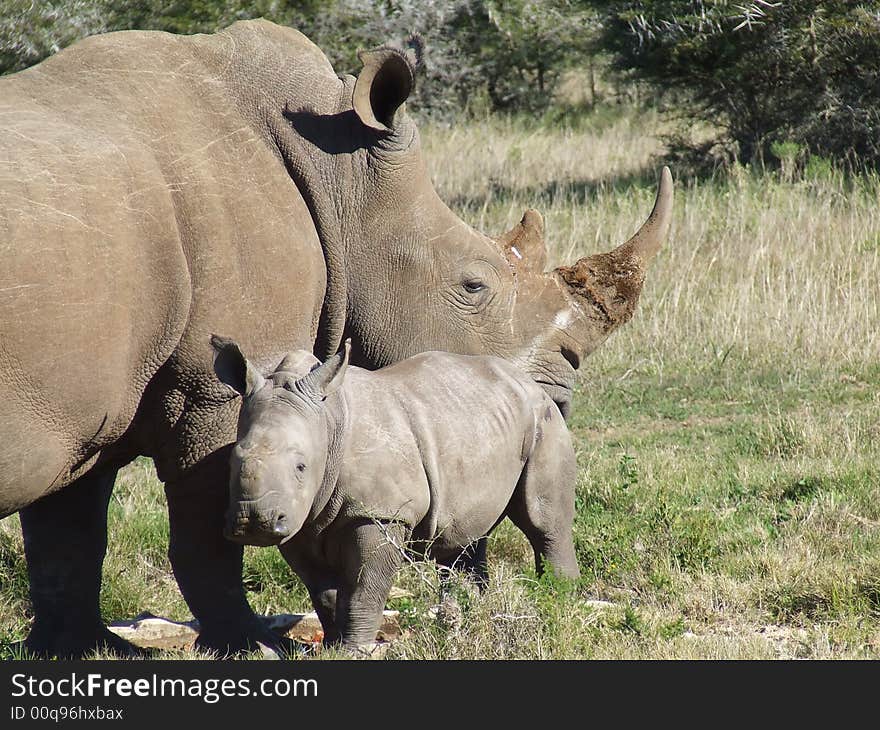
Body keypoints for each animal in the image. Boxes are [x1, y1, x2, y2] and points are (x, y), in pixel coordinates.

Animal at [207, 336, 576, 648]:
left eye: (301, 467)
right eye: (232, 462)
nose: (254, 520)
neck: (328, 422)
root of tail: (526, 380)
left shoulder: (381, 513)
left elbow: (365, 588)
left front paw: (354, 649)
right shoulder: (301, 521)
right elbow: (323, 592)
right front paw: (332, 646)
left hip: (544, 419)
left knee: (544, 523)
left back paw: (558, 601)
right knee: (463, 541)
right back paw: (463, 622)